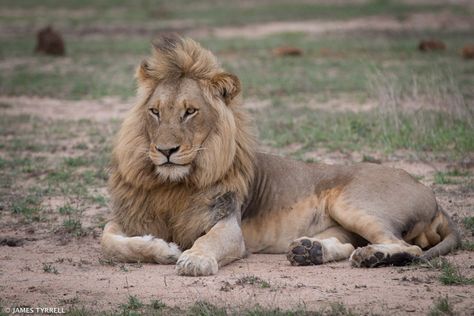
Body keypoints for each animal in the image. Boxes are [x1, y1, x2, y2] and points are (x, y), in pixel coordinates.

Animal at [101, 35, 460, 276]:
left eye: (190, 112)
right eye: (155, 112)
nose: (166, 151)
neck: (173, 184)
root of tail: (430, 193)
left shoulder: (228, 225)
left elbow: (209, 242)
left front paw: (194, 259)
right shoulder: (131, 217)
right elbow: (109, 240)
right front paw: (163, 250)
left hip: (353, 203)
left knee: (408, 246)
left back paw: (372, 257)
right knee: (350, 244)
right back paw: (310, 251)